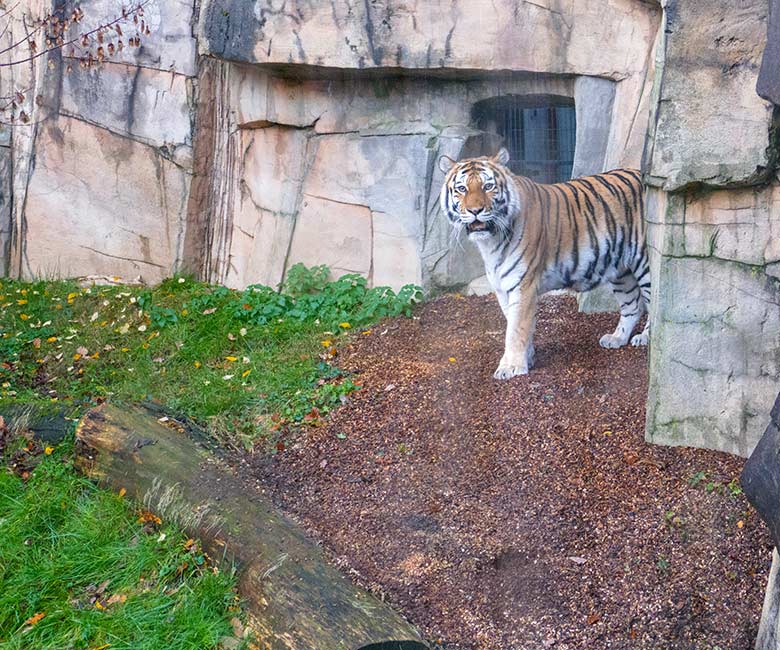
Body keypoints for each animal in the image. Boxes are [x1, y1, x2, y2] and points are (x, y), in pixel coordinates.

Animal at [438, 146, 652, 380]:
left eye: (488, 186)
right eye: (461, 188)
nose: (475, 211)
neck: (490, 242)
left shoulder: (523, 285)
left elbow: (515, 329)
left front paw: (511, 367)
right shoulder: (503, 289)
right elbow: (518, 325)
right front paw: (527, 357)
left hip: (645, 264)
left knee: (654, 303)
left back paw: (645, 337)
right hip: (621, 270)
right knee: (633, 305)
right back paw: (617, 338)